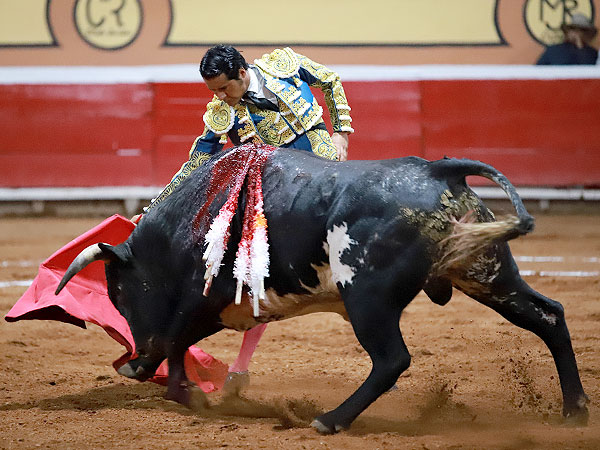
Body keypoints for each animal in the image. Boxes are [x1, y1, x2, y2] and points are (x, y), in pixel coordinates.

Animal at [54, 147, 588, 432]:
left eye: (121, 294)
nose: (134, 360)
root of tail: (438, 169)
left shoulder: (200, 299)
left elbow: (174, 337)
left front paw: (186, 394)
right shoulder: (218, 306)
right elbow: (179, 341)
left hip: (368, 298)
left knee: (392, 359)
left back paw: (331, 419)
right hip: (485, 271)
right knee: (549, 315)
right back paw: (575, 411)